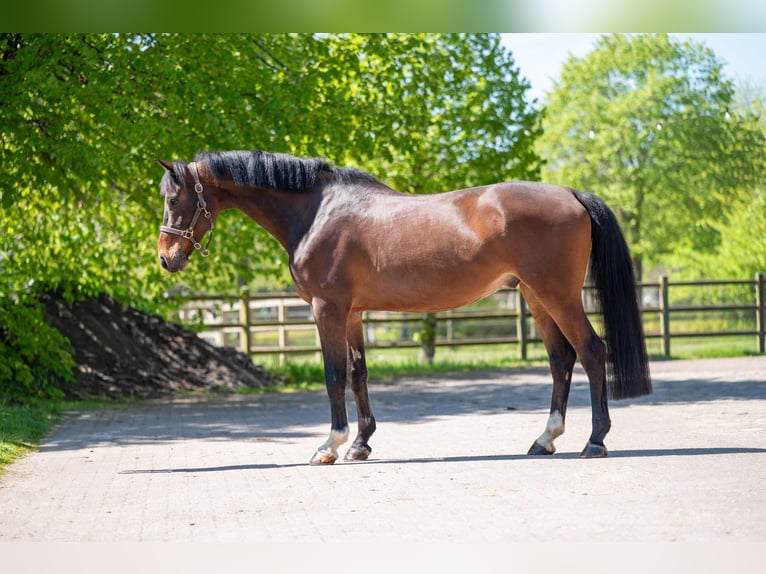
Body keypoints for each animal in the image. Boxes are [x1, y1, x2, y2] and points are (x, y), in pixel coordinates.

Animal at [156, 150, 651, 464]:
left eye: (174, 198)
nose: (166, 258)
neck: (317, 211)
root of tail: (570, 193)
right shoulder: (352, 313)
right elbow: (358, 373)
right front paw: (360, 444)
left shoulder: (326, 308)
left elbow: (334, 375)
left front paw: (329, 446)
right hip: (535, 296)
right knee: (560, 359)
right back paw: (545, 439)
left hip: (557, 294)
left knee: (591, 352)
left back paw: (595, 441)